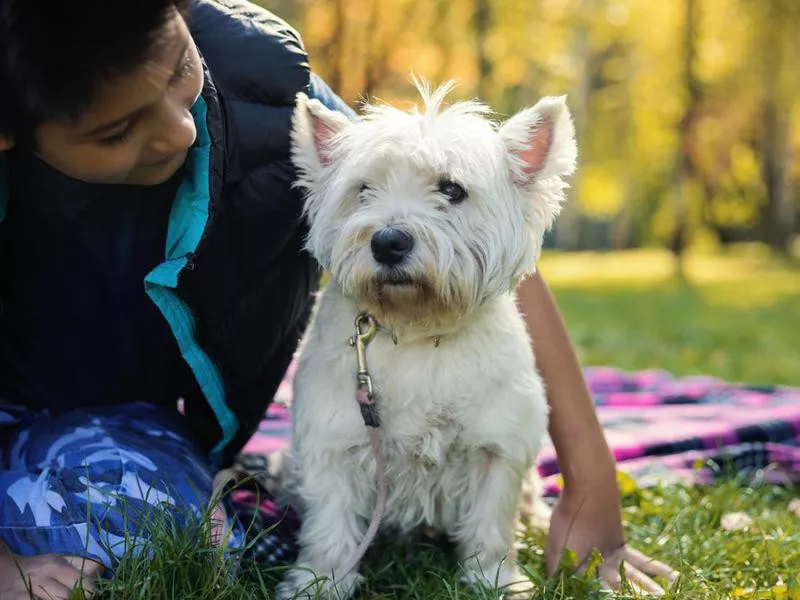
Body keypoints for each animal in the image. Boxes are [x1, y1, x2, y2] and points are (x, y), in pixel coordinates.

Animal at [274, 81, 576, 600]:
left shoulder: (496, 444)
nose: (387, 241)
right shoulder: (334, 440)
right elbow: (331, 522)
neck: (417, 328)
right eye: (363, 190)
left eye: (452, 189)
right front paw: (319, 581)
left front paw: (495, 579)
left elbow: (491, 523)